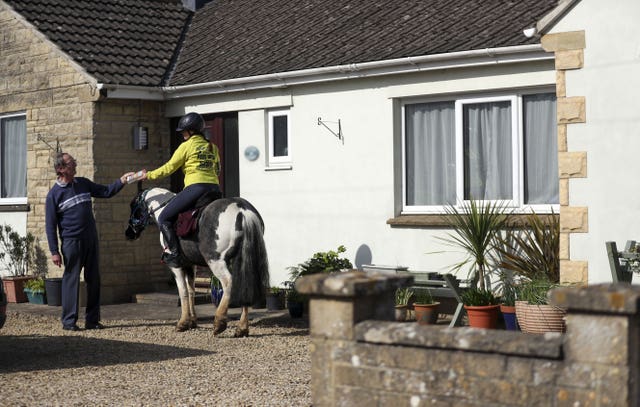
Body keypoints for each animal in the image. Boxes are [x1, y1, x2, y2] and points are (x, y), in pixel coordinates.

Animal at [125, 188, 268, 338]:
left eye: (133, 206)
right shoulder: (190, 265)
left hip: (215, 261)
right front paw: (192, 321)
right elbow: (191, 290)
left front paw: (183, 322)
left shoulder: (176, 266)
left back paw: (219, 323)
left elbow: (183, 291)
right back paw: (242, 328)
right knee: (245, 284)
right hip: (239, 261)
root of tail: (241, 210)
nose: (128, 233)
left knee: (229, 282)